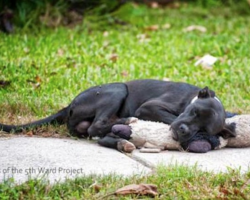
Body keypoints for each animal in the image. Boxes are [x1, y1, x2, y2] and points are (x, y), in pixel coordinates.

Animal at [0, 79, 235, 149]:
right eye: (193, 112)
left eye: (204, 127)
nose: (185, 131)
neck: (190, 99)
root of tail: (69, 105)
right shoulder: (149, 108)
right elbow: (170, 119)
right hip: (118, 89)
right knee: (97, 125)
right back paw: (127, 122)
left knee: (96, 130)